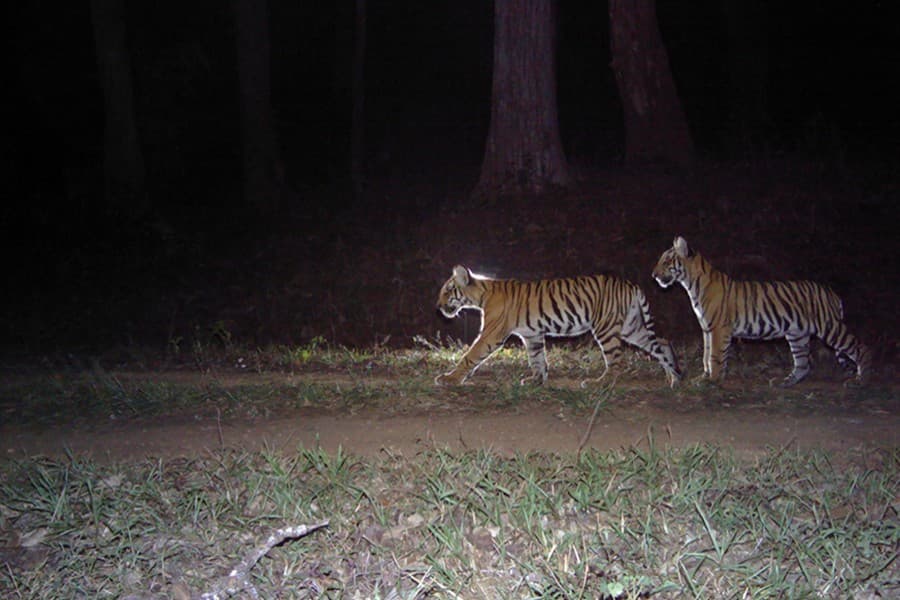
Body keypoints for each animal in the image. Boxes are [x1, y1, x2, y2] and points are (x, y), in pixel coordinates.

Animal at [434, 265, 681, 387]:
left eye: (447, 290)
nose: (438, 306)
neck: (482, 294)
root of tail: (629, 283)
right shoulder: (532, 335)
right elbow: (537, 359)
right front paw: (535, 380)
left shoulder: (491, 334)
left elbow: (471, 355)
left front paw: (450, 379)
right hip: (631, 326)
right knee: (662, 341)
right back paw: (673, 377)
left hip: (606, 328)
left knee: (616, 362)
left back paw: (598, 384)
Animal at [652, 236, 871, 386]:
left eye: (666, 261)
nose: (653, 275)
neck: (691, 284)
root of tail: (832, 293)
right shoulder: (707, 328)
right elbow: (706, 355)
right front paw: (704, 376)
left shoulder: (718, 329)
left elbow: (715, 355)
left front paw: (712, 380)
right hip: (797, 334)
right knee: (803, 363)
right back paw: (785, 382)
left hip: (829, 327)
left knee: (860, 347)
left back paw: (861, 379)